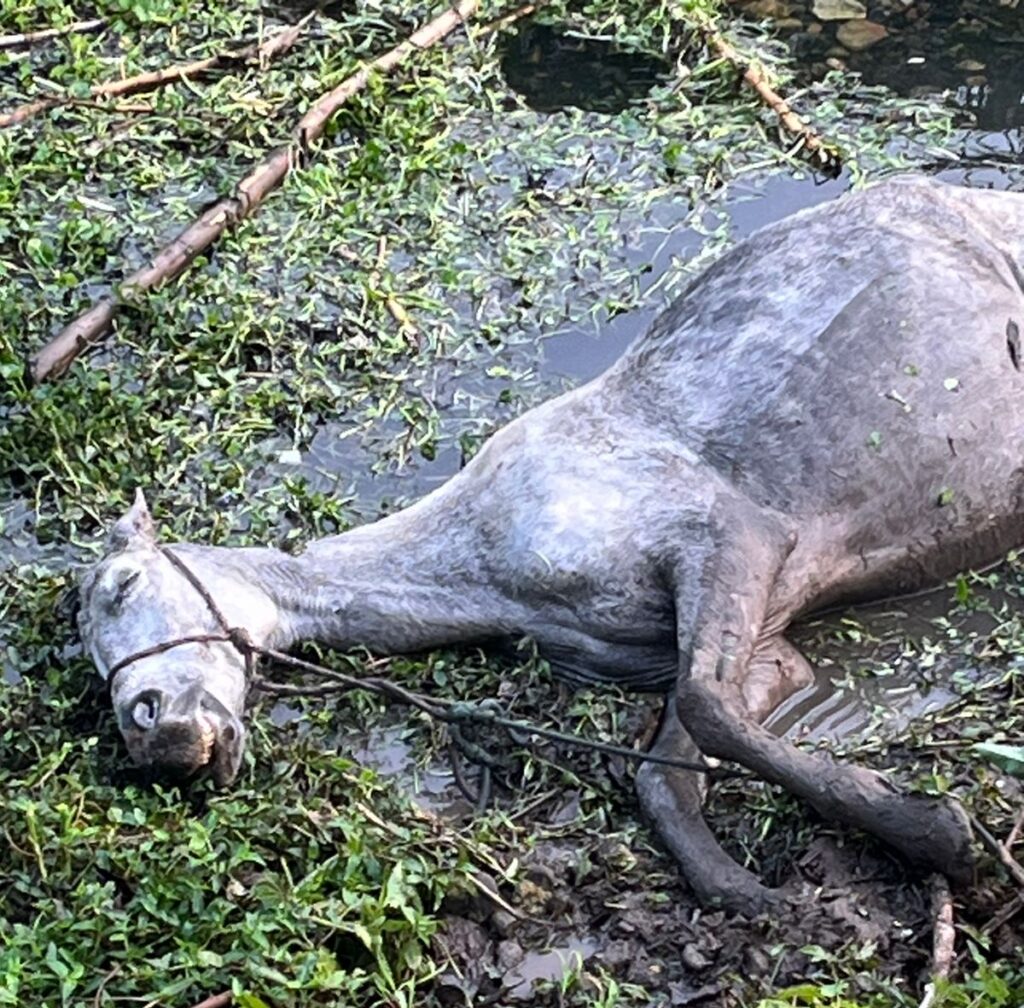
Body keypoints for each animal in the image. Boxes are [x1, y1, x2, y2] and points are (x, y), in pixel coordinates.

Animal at [77, 177, 1024, 909]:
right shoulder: (763, 641)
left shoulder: (731, 533)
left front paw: (939, 834)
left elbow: (706, 712)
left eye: (122, 585)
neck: (491, 565)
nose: (154, 735)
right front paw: (746, 890)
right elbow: (670, 768)